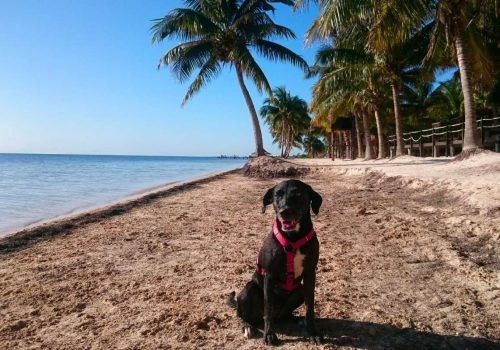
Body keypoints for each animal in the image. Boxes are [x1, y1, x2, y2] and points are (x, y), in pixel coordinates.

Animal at [229, 180, 322, 344]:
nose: (284, 211)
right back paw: (247, 326)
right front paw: (269, 334)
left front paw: (312, 331)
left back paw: (296, 319)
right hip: (248, 290)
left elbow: (310, 307)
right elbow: (268, 308)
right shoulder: (269, 276)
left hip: (299, 291)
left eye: (298, 195)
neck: (293, 238)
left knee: (284, 314)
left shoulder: (310, 273)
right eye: (277, 195)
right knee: (244, 316)